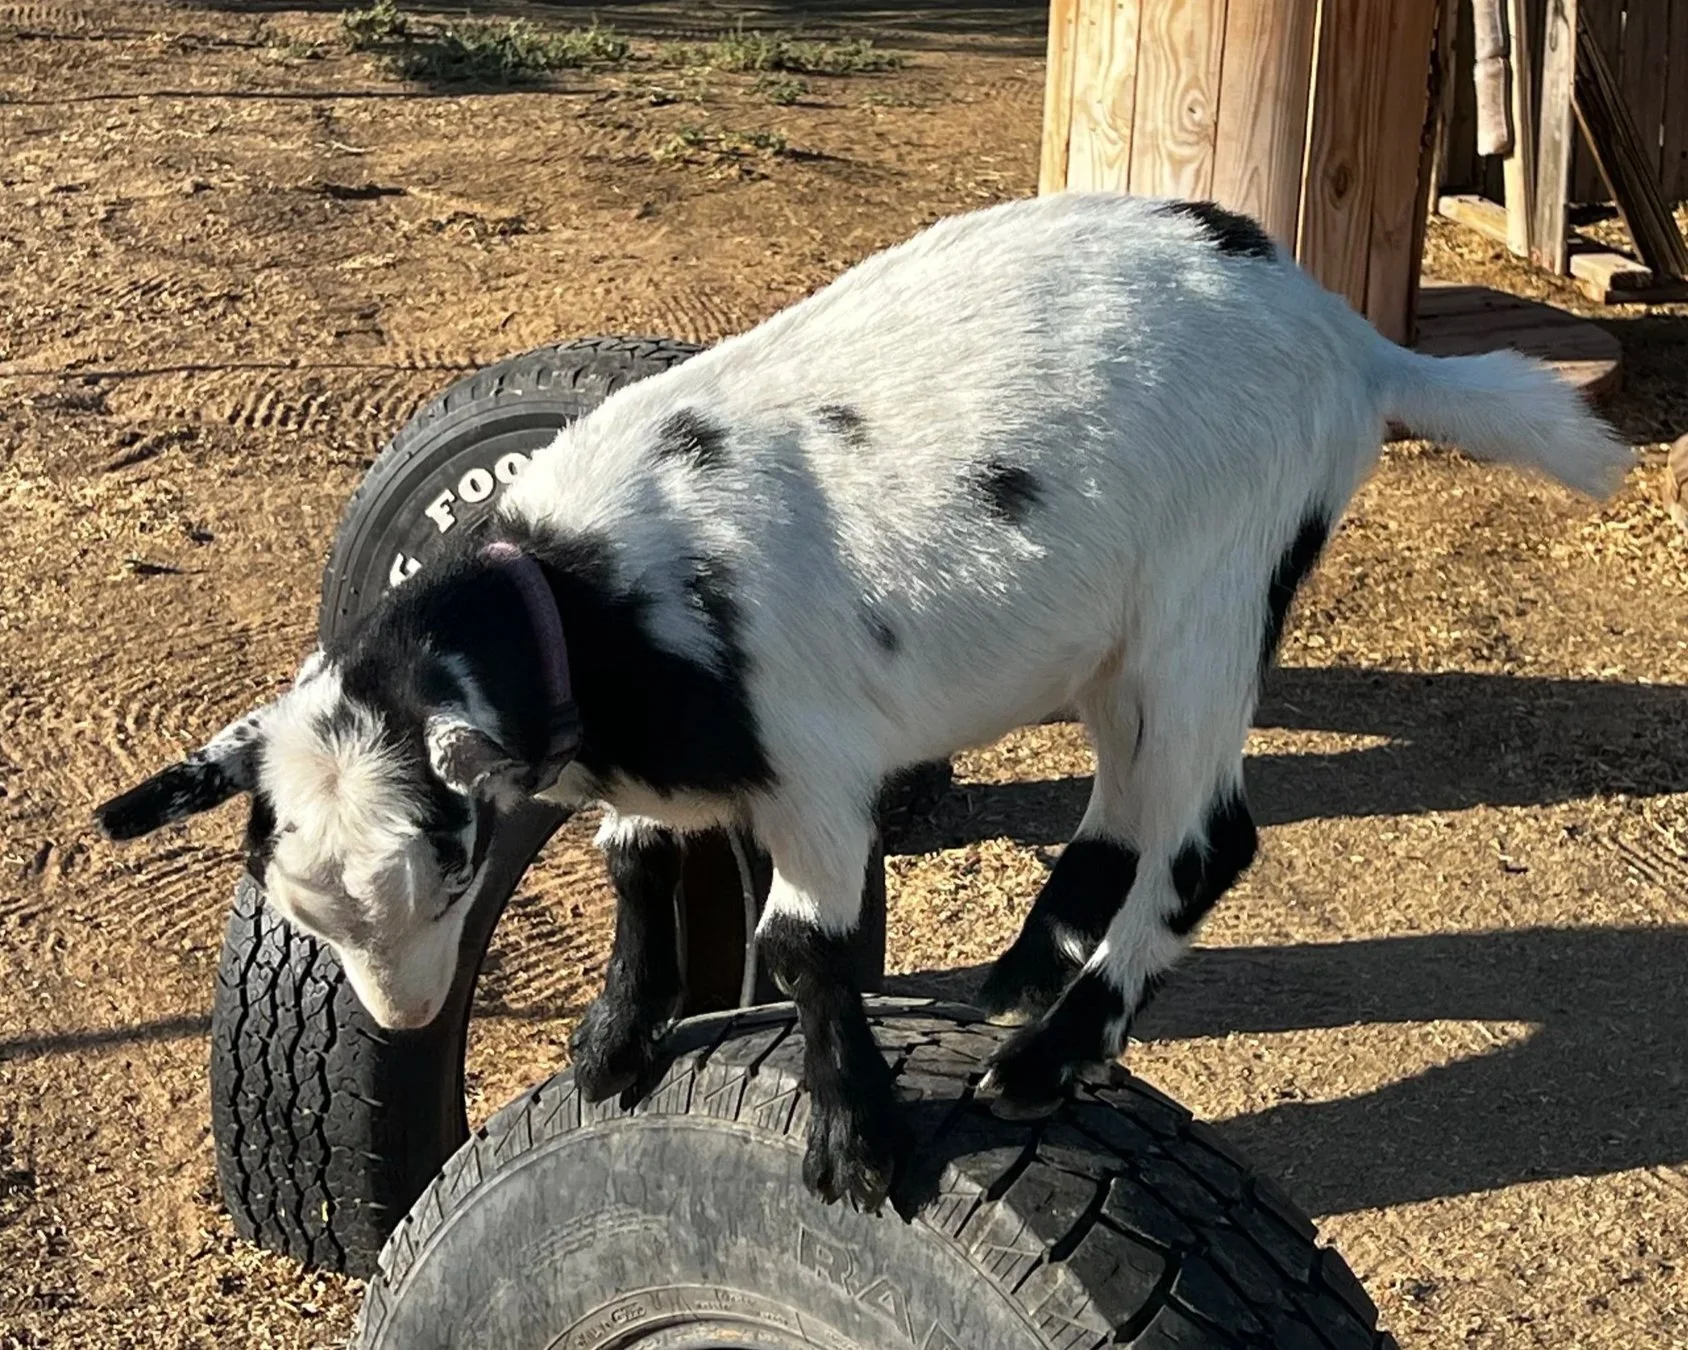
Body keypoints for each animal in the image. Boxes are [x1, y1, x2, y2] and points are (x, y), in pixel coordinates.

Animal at [95, 191, 1630, 1212]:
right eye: (300, 911)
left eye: (451, 870)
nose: (410, 1020)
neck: (596, 602)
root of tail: (1356, 343)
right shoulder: (662, 775)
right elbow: (637, 868)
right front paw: (611, 1046)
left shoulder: (814, 773)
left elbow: (805, 943)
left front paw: (860, 1145)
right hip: (1116, 635)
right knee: (1127, 796)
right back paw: (1013, 981)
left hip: (1218, 584)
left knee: (1208, 837)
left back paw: (1041, 1060)